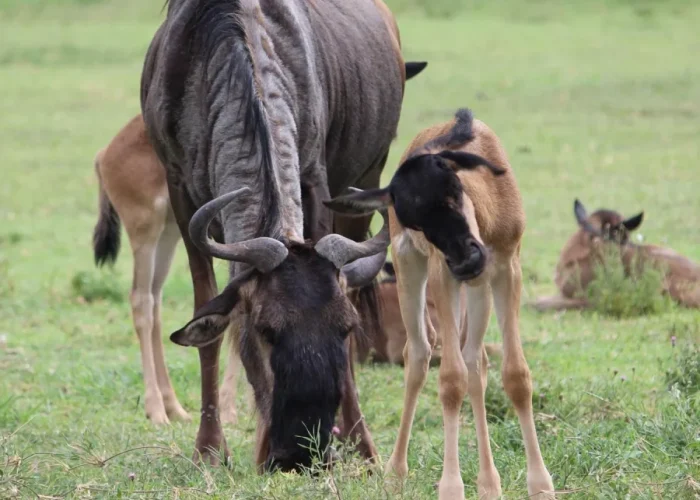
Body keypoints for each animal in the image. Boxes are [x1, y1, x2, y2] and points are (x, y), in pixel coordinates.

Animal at [141, 0, 424, 469]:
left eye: (345, 327)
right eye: (264, 330)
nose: (300, 453)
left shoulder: (317, 180)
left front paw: (362, 447)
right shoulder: (179, 191)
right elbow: (207, 321)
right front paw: (210, 448)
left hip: (367, 175)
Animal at [326, 108, 555, 499]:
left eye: (453, 192)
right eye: (415, 221)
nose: (466, 261)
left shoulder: (507, 269)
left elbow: (515, 374)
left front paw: (540, 485)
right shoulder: (441, 275)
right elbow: (450, 379)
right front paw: (451, 487)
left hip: (478, 291)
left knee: (475, 361)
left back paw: (489, 482)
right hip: (411, 270)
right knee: (418, 356)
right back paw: (396, 473)